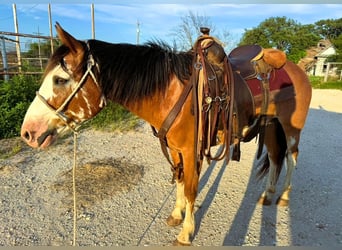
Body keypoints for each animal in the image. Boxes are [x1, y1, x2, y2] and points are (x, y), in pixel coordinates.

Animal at [20, 23, 312, 246]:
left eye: (60, 79)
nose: (28, 133)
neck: (171, 92)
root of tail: (296, 67)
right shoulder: (175, 149)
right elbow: (181, 182)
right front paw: (176, 214)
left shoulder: (191, 150)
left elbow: (192, 188)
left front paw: (186, 232)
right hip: (271, 125)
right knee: (275, 158)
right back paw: (268, 194)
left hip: (291, 128)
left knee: (292, 158)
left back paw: (284, 196)